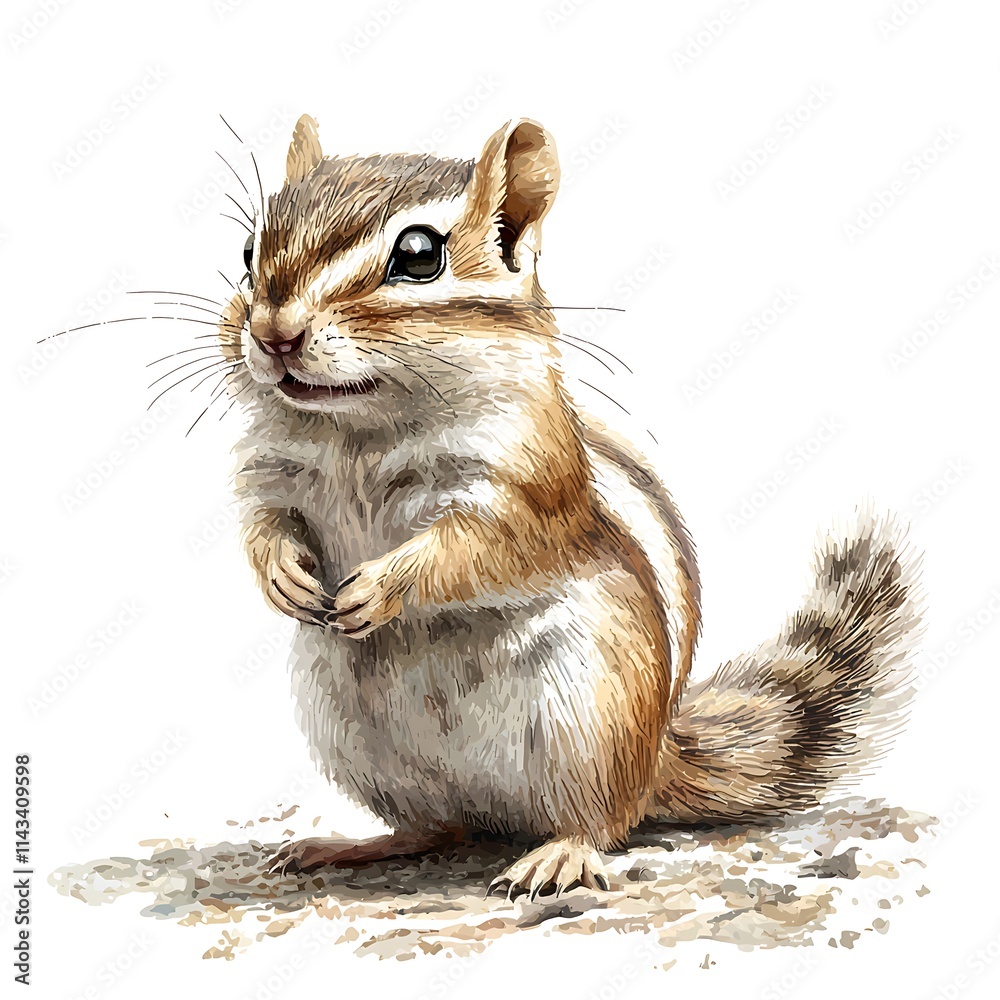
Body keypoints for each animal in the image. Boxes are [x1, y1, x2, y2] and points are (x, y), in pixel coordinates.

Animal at [217, 114, 922, 899]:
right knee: (434, 827)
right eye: (248, 253)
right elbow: (262, 526)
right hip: (349, 733)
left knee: (599, 819)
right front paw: (283, 576)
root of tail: (657, 760)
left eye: (419, 255)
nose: (273, 334)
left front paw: (380, 585)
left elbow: (473, 547)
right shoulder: (269, 474)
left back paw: (558, 855)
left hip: (591, 715)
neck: (357, 430)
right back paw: (351, 845)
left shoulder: (526, 485)